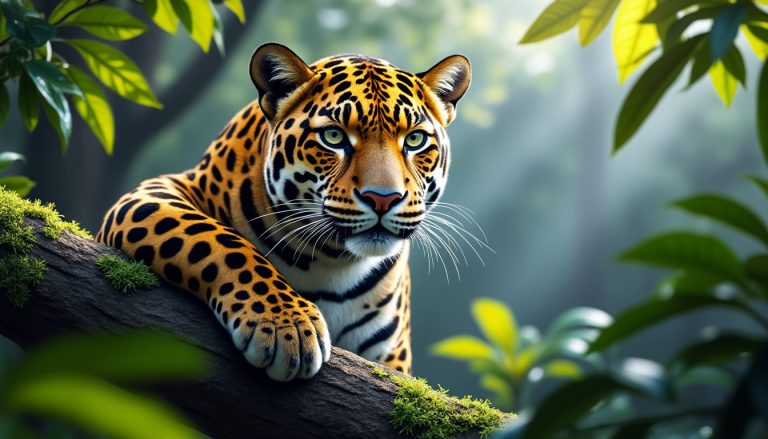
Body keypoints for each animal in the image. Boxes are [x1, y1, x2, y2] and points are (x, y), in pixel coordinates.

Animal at [96, 43, 471, 381]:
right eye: (333, 136)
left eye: (415, 140)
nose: (383, 198)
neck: (329, 261)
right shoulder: (156, 193)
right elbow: (219, 242)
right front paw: (286, 325)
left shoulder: (392, 358)